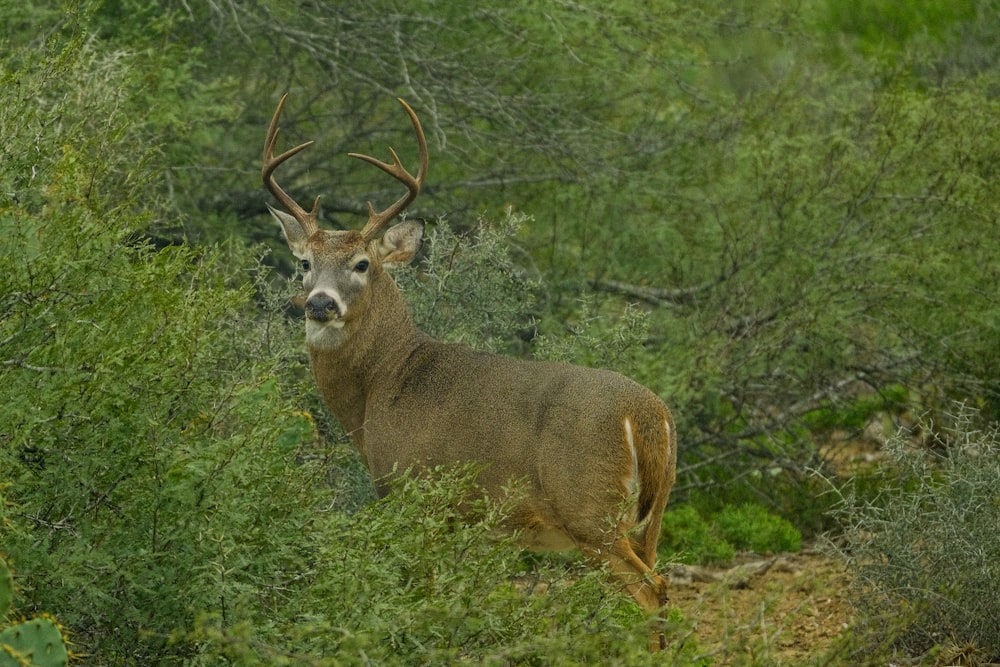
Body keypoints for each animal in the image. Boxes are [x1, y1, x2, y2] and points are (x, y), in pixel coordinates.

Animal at [262, 94, 680, 648]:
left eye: (361, 264)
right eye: (305, 262)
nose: (320, 304)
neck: (383, 384)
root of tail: (650, 416)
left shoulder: (411, 490)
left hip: (589, 508)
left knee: (650, 589)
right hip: (651, 514)